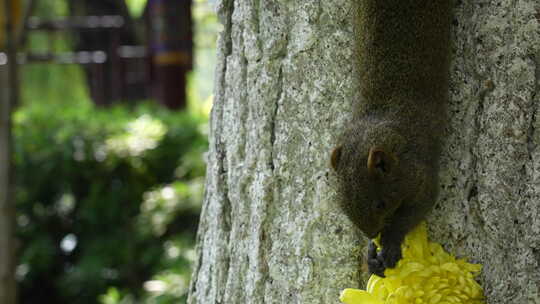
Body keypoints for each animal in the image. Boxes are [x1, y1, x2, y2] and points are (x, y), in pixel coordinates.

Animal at [332, 0, 454, 276]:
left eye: (381, 204)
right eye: (343, 207)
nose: (372, 233)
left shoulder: (419, 169)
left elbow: (420, 205)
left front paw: (389, 242)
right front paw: (371, 253)